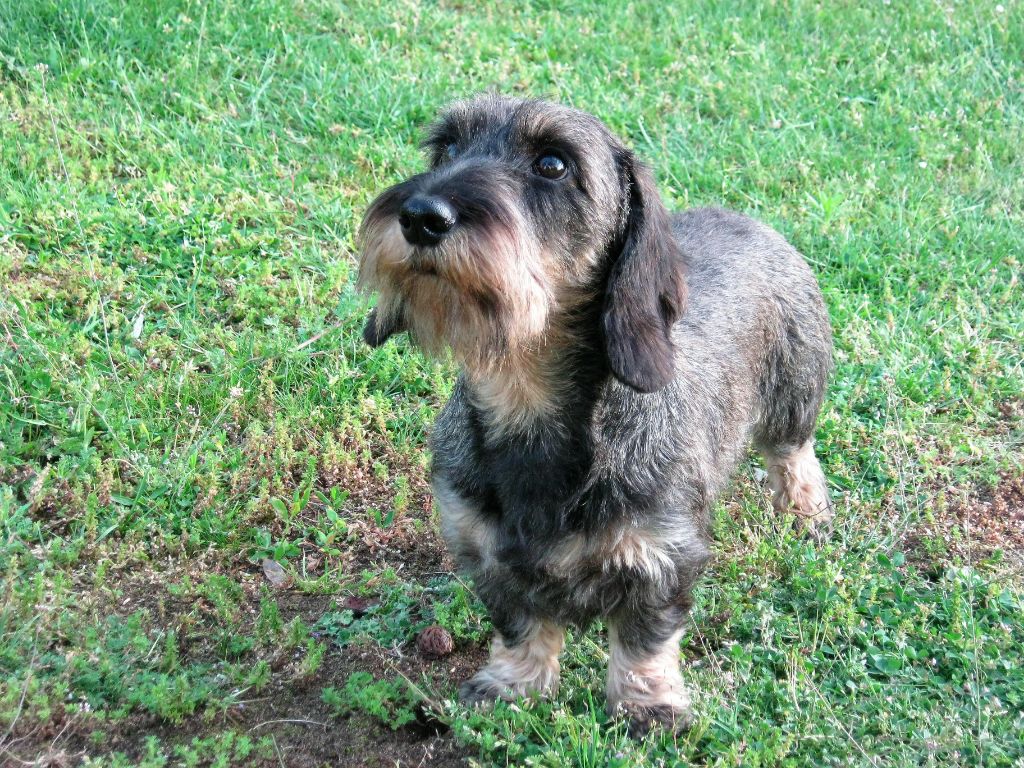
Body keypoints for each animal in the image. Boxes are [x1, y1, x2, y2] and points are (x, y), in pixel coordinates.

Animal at [356, 97, 835, 741]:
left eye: (553, 164)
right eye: (446, 149)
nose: (420, 216)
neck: (527, 404)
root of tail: (749, 220)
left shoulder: (663, 557)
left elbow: (643, 640)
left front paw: (647, 704)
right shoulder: (485, 553)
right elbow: (521, 625)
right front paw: (512, 685)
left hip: (794, 395)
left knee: (794, 455)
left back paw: (806, 512)